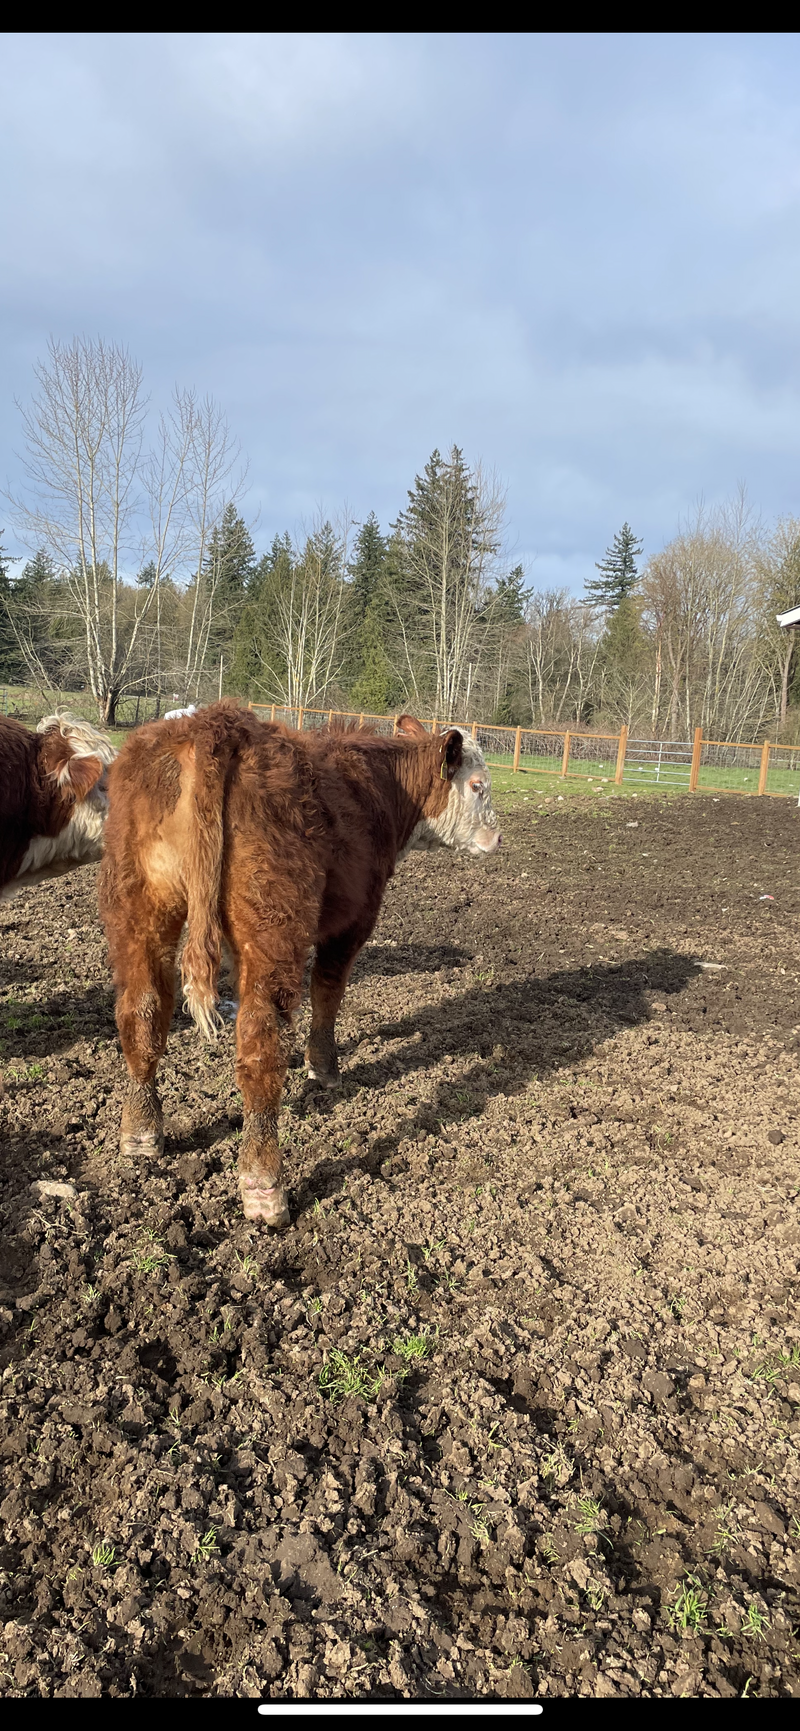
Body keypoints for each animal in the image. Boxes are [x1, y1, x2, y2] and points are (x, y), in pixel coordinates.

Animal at [99, 701, 501, 1229]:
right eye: (477, 785)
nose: (496, 837)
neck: (379, 786)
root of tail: (217, 724)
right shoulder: (353, 918)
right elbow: (328, 991)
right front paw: (323, 1068)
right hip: (273, 926)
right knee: (260, 1047)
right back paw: (265, 1186)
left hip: (139, 906)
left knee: (142, 1012)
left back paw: (141, 1133)